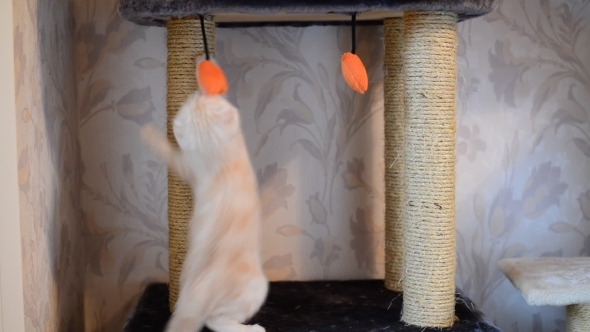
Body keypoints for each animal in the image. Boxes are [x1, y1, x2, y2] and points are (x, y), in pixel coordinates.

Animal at [141, 60, 268, 332]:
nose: (197, 94)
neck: (221, 162)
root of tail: (201, 288)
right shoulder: (189, 167)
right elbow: (169, 153)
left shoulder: (191, 166)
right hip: (256, 286)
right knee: (215, 320)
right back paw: (252, 328)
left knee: (213, 320)